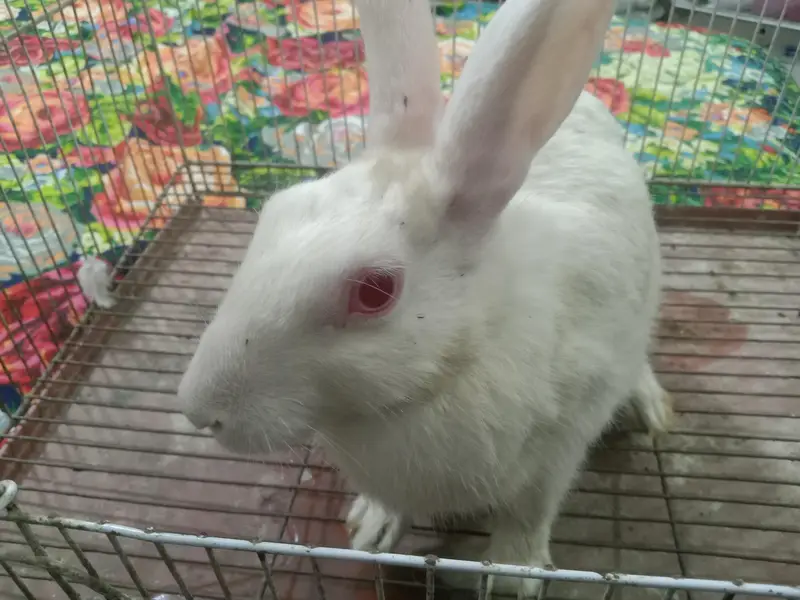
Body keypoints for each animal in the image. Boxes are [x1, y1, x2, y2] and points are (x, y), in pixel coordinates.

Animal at [178, 0, 672, 597]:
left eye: (374, 291)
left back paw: (650, 406)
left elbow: (526, 517)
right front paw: (370, 531)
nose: (199, 410)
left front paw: (512, 577)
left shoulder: (558, 449)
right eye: (272, 211)